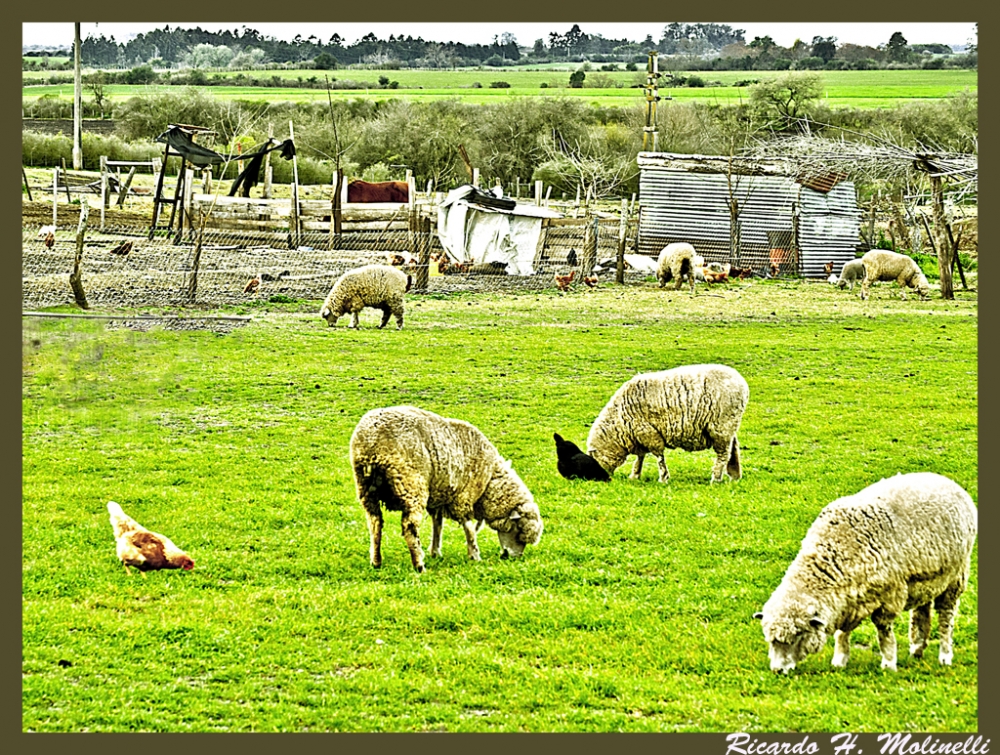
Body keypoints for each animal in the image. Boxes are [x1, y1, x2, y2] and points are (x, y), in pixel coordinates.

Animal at [348, 408, 544, 572]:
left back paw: (376, 561)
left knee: (375, 523)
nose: (514, 558)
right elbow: (469, 528)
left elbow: (438, 524)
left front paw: (435, 551)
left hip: (366, 488)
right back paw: (419, 564)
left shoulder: (439, 497)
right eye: (518, 531)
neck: (489, 482)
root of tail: (371, 443)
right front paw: (474, 555)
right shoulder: (463, 497)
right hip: (411, 485)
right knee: (409, 526)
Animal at [584, 366, 748, 484]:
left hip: (721, 427)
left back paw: (716, 478)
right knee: (733, 448)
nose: (602, 479)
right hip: (729, 426)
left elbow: (658, 457)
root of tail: (742, 383)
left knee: (723, 454)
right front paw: (635, 475)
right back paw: (734, 475)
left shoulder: (649, 433)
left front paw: (663, 478)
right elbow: (640, 457)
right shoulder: (640, 435)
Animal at [756, 472, 976, 672]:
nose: (777, 670)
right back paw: (917, 648)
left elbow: (883, 632)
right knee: (922, 612)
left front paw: (888, 663)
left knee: (946, 617)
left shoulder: (889, 596)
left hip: (955, 577)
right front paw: (839, 660)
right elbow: (842, 632)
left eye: (797, 636)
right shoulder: (849, 602)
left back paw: (945, 655)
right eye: (770, 640)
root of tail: (948, 481)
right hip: (926, 579)